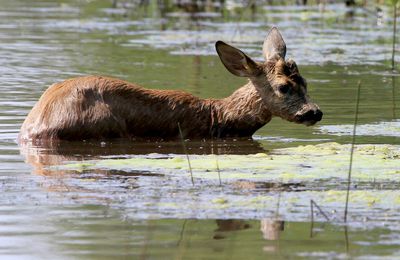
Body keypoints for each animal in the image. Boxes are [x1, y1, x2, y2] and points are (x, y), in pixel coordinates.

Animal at [18, 27, 322, 143]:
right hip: (101, 124)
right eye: (283, 87)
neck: (219, 117)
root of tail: (34, 125)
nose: (315, 112)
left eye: (305, 82)